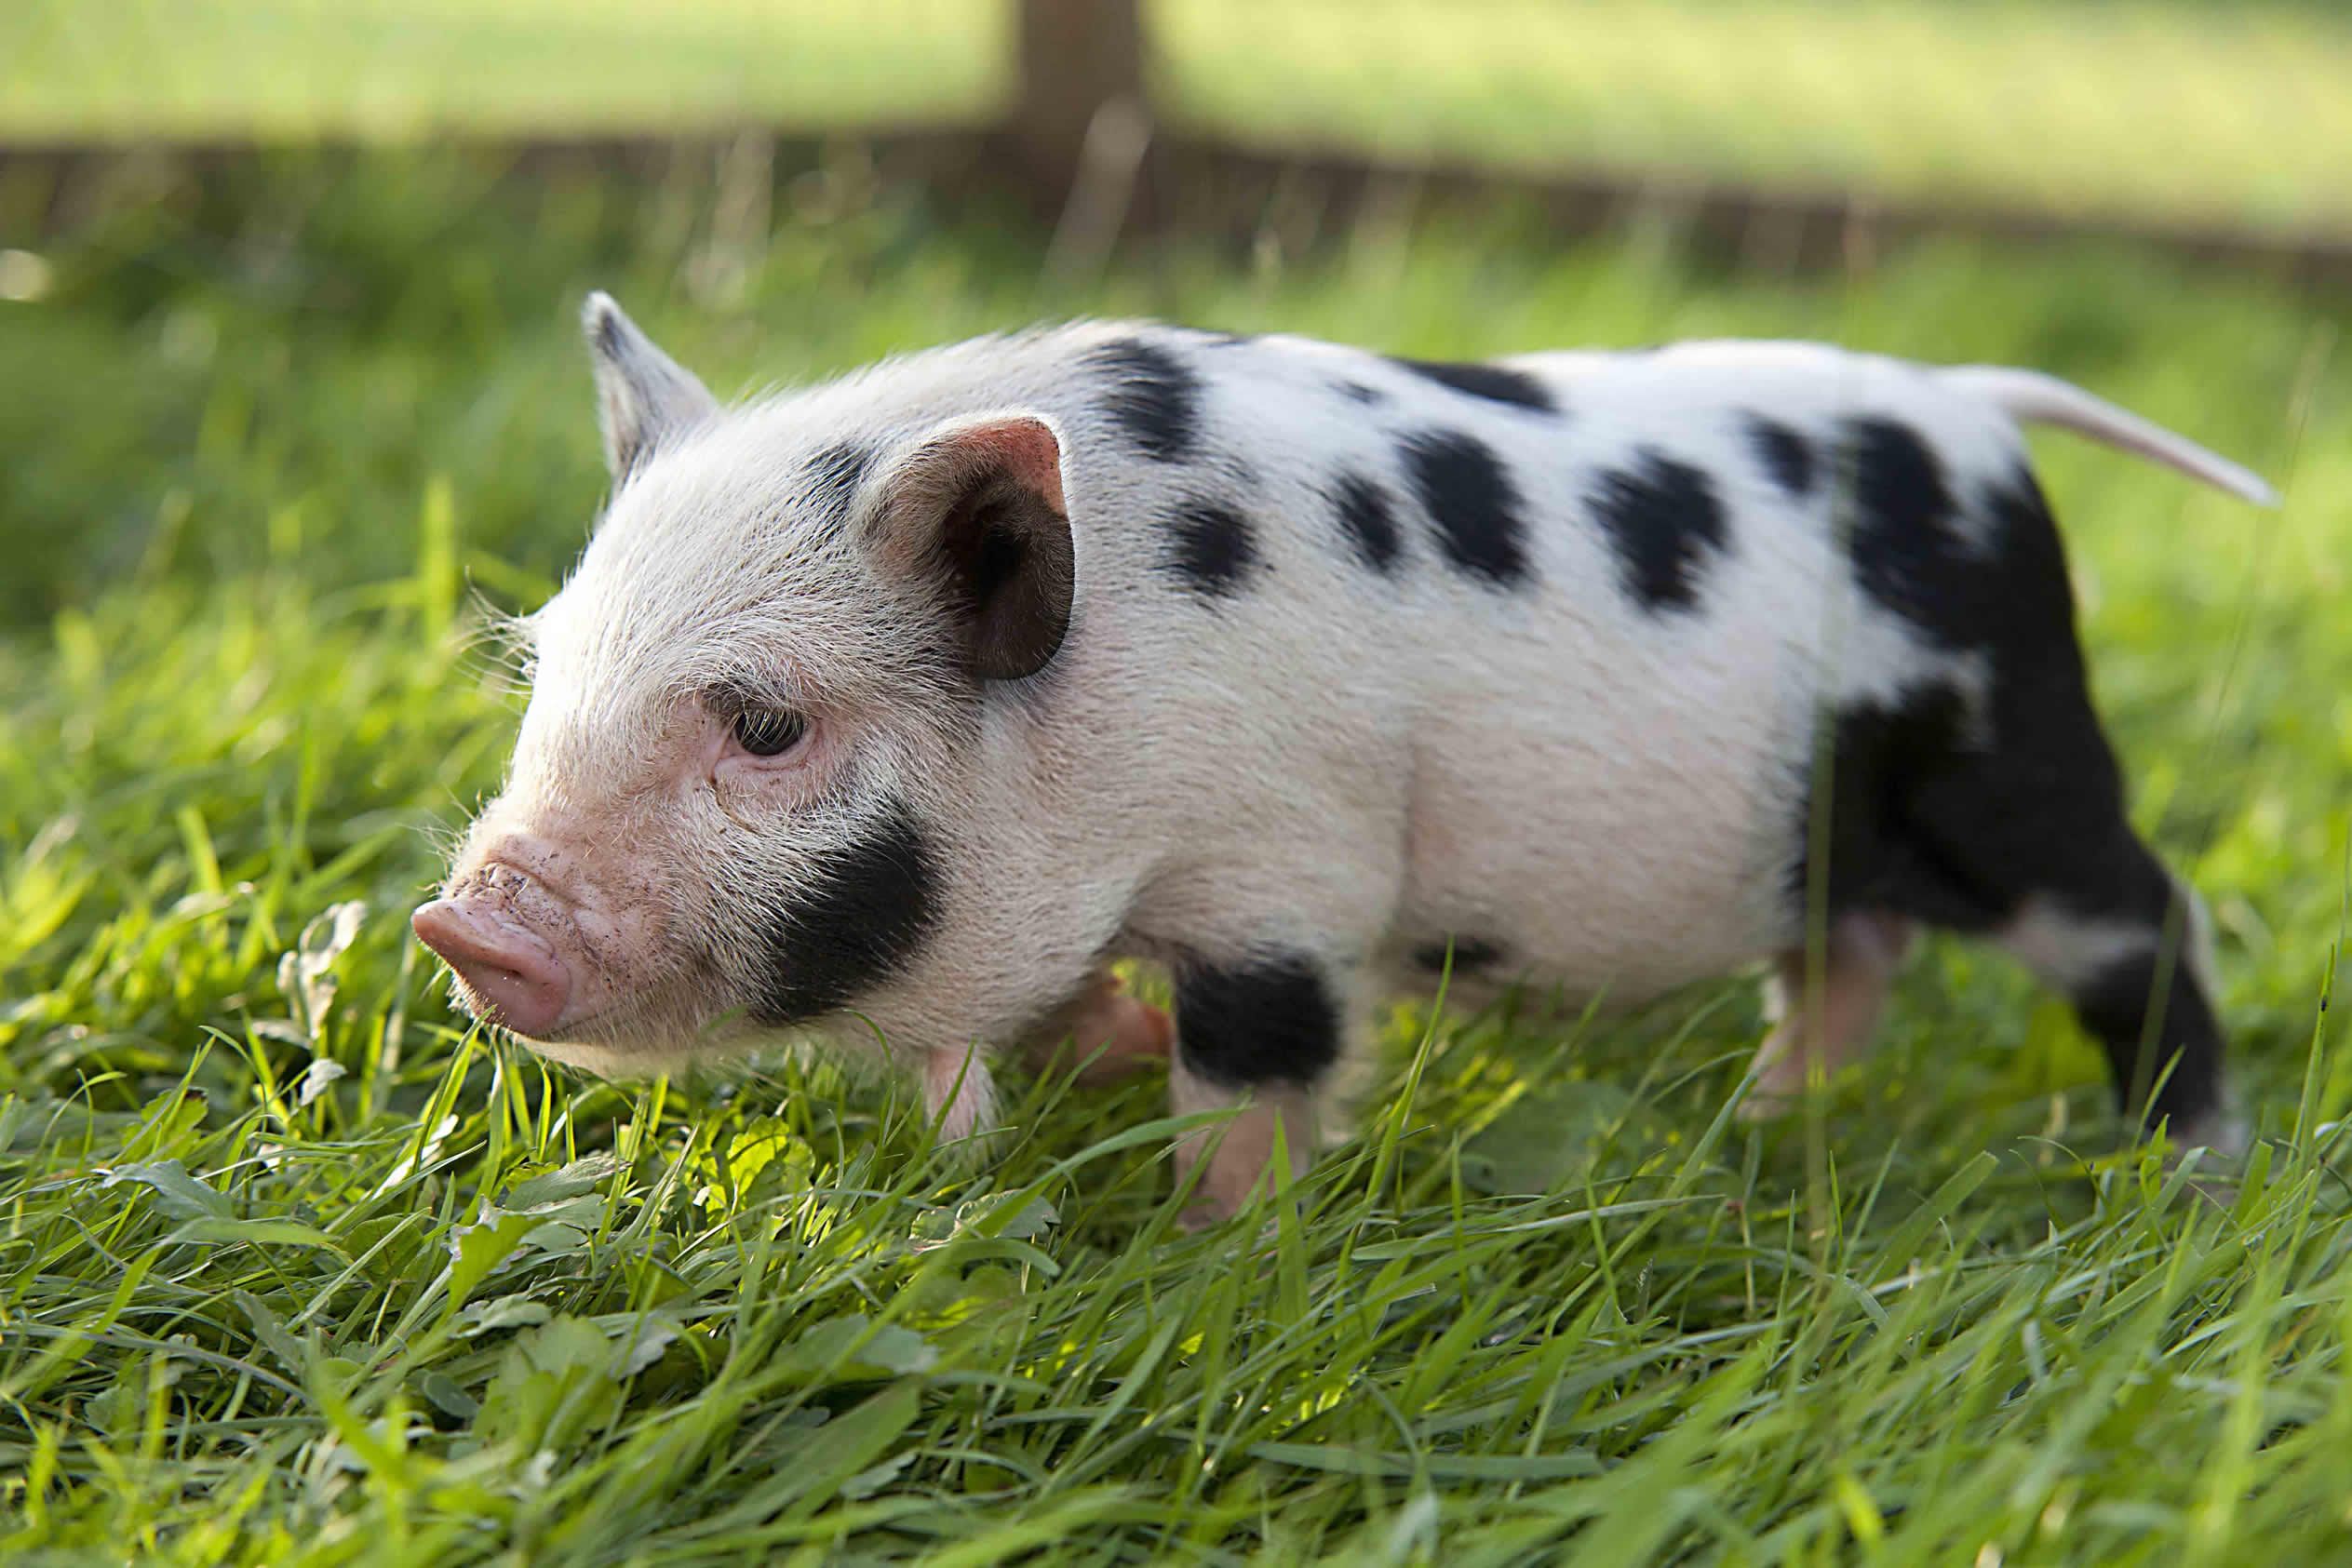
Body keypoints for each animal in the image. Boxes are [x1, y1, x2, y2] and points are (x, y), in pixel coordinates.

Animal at [413, 293, 2276, 1223]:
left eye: (766, 723)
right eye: (546, 670)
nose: (461, 924)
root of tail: (1969, 413)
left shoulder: (1287, 871)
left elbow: (1254, 1071)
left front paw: (1209, 1254)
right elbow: (1049, 1021)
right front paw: (1093, 1076)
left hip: (2019, 768)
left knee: (2148, 921)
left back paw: (2188, 1176)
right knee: (1846, 958)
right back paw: (1757, 1133)